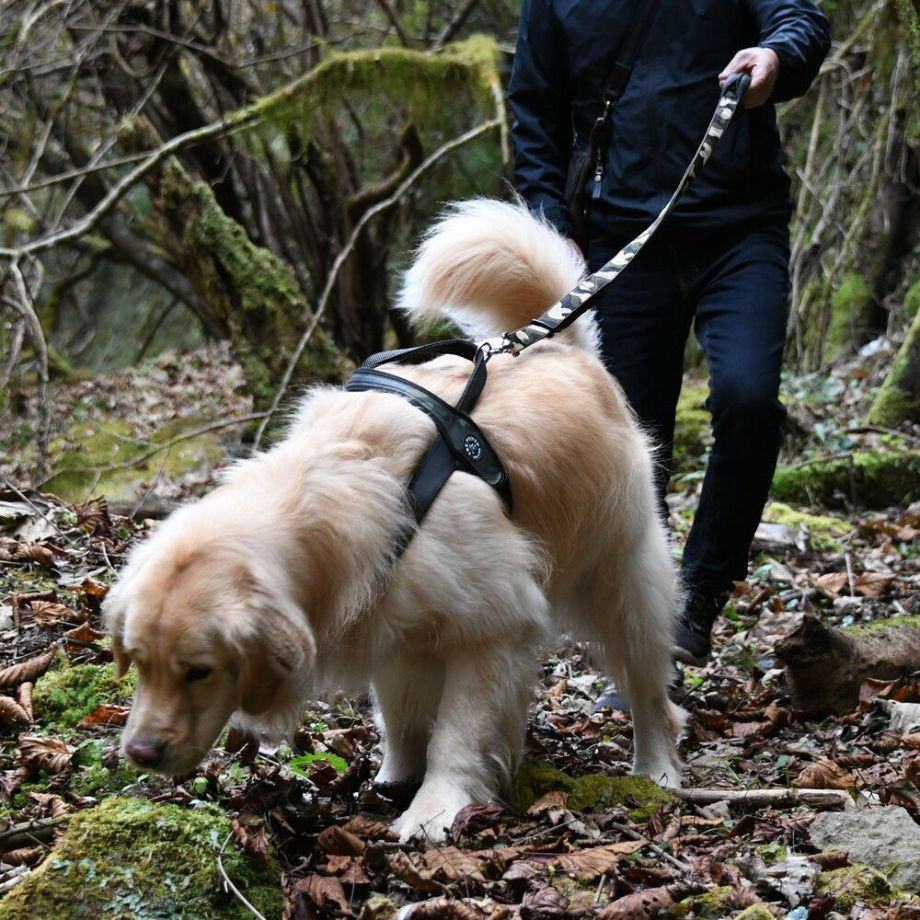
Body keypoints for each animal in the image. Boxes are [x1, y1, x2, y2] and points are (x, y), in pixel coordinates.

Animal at [106, 199, 684, 840]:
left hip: (624, 581)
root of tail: (567, 349)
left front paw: (436, 808)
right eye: (138, 661)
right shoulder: (391, 626)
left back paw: (656, 768)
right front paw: (393, 779)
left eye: (199, 671)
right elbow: (402, 719)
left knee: (650, 690)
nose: (139, 754)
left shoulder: (494, 627)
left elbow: (459, 730)